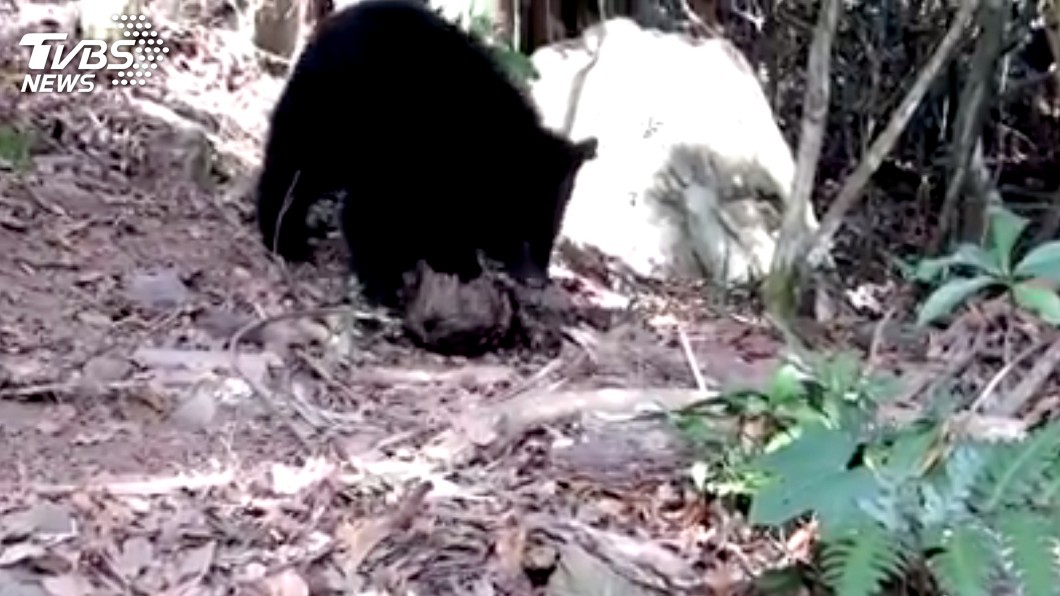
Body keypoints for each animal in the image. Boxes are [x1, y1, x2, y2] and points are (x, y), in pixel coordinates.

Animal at [255, 0, 598, 310]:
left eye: (551, 232)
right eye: (521, 227)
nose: (537, 279)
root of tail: (327, 26)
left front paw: (452, 262)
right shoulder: (408, 154)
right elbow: (367, 217)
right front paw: (384, 284)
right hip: (327, 116)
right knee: (292, 169)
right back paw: (284, 239)